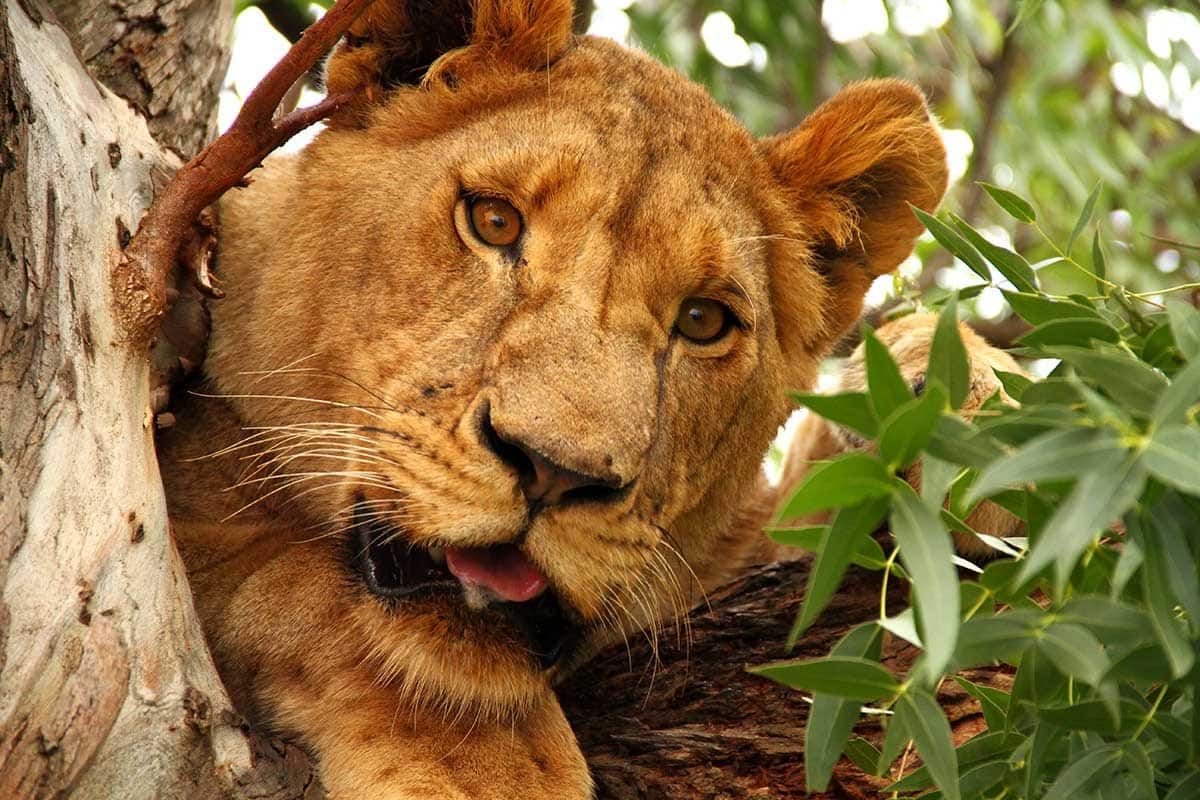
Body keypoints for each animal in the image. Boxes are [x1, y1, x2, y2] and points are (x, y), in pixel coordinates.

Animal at [154, 1, 950, 796]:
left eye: (702, 320)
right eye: (493, 222)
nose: (555, 472)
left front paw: (930, 407)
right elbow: (285, 571)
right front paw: (490, 771)